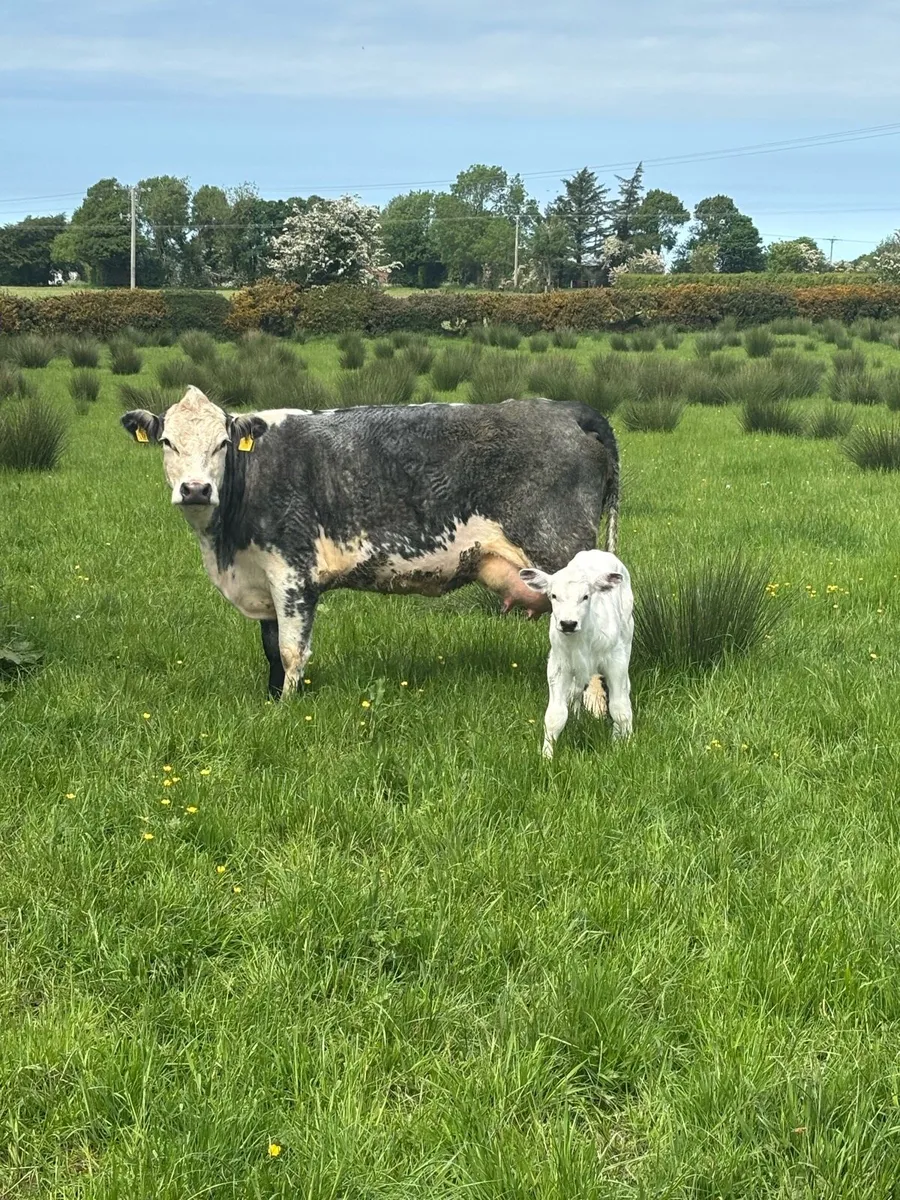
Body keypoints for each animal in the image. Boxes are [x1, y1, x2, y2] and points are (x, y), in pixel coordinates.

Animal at [121, 386, 619, 699]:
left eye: (223, 444)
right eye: (167, 442)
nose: (195, 489)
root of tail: (568, 409)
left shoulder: (292, 573)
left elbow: (291, 651)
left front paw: (286, 712)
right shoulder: (261, 580)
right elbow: (270, 649)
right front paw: (270, 702)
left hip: (561, 553)